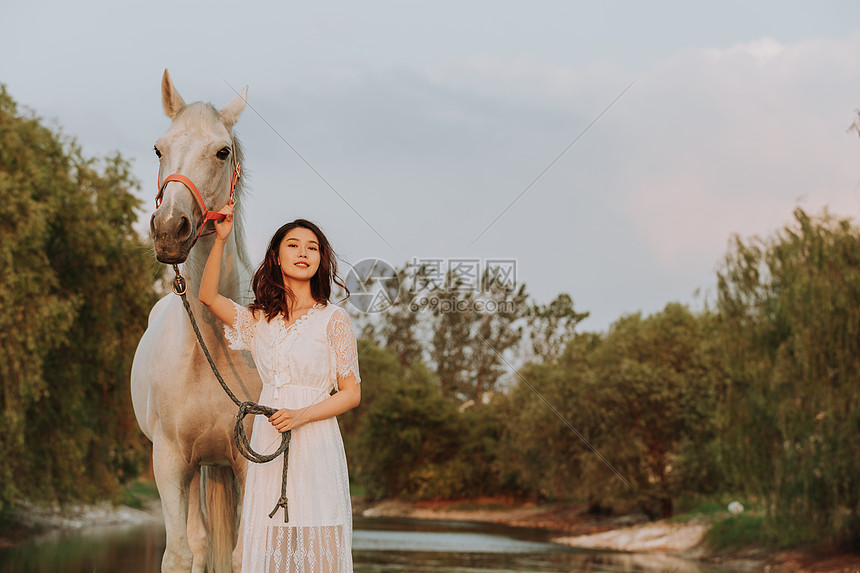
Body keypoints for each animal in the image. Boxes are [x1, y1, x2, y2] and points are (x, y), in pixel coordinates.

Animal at [131, 69, 262, 568]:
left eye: (222, 151)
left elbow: (244, 556)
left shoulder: (247, 460)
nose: (170, 229)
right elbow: (179, 555)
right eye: (158, 149)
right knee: (199, 541)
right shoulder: (169, 463)